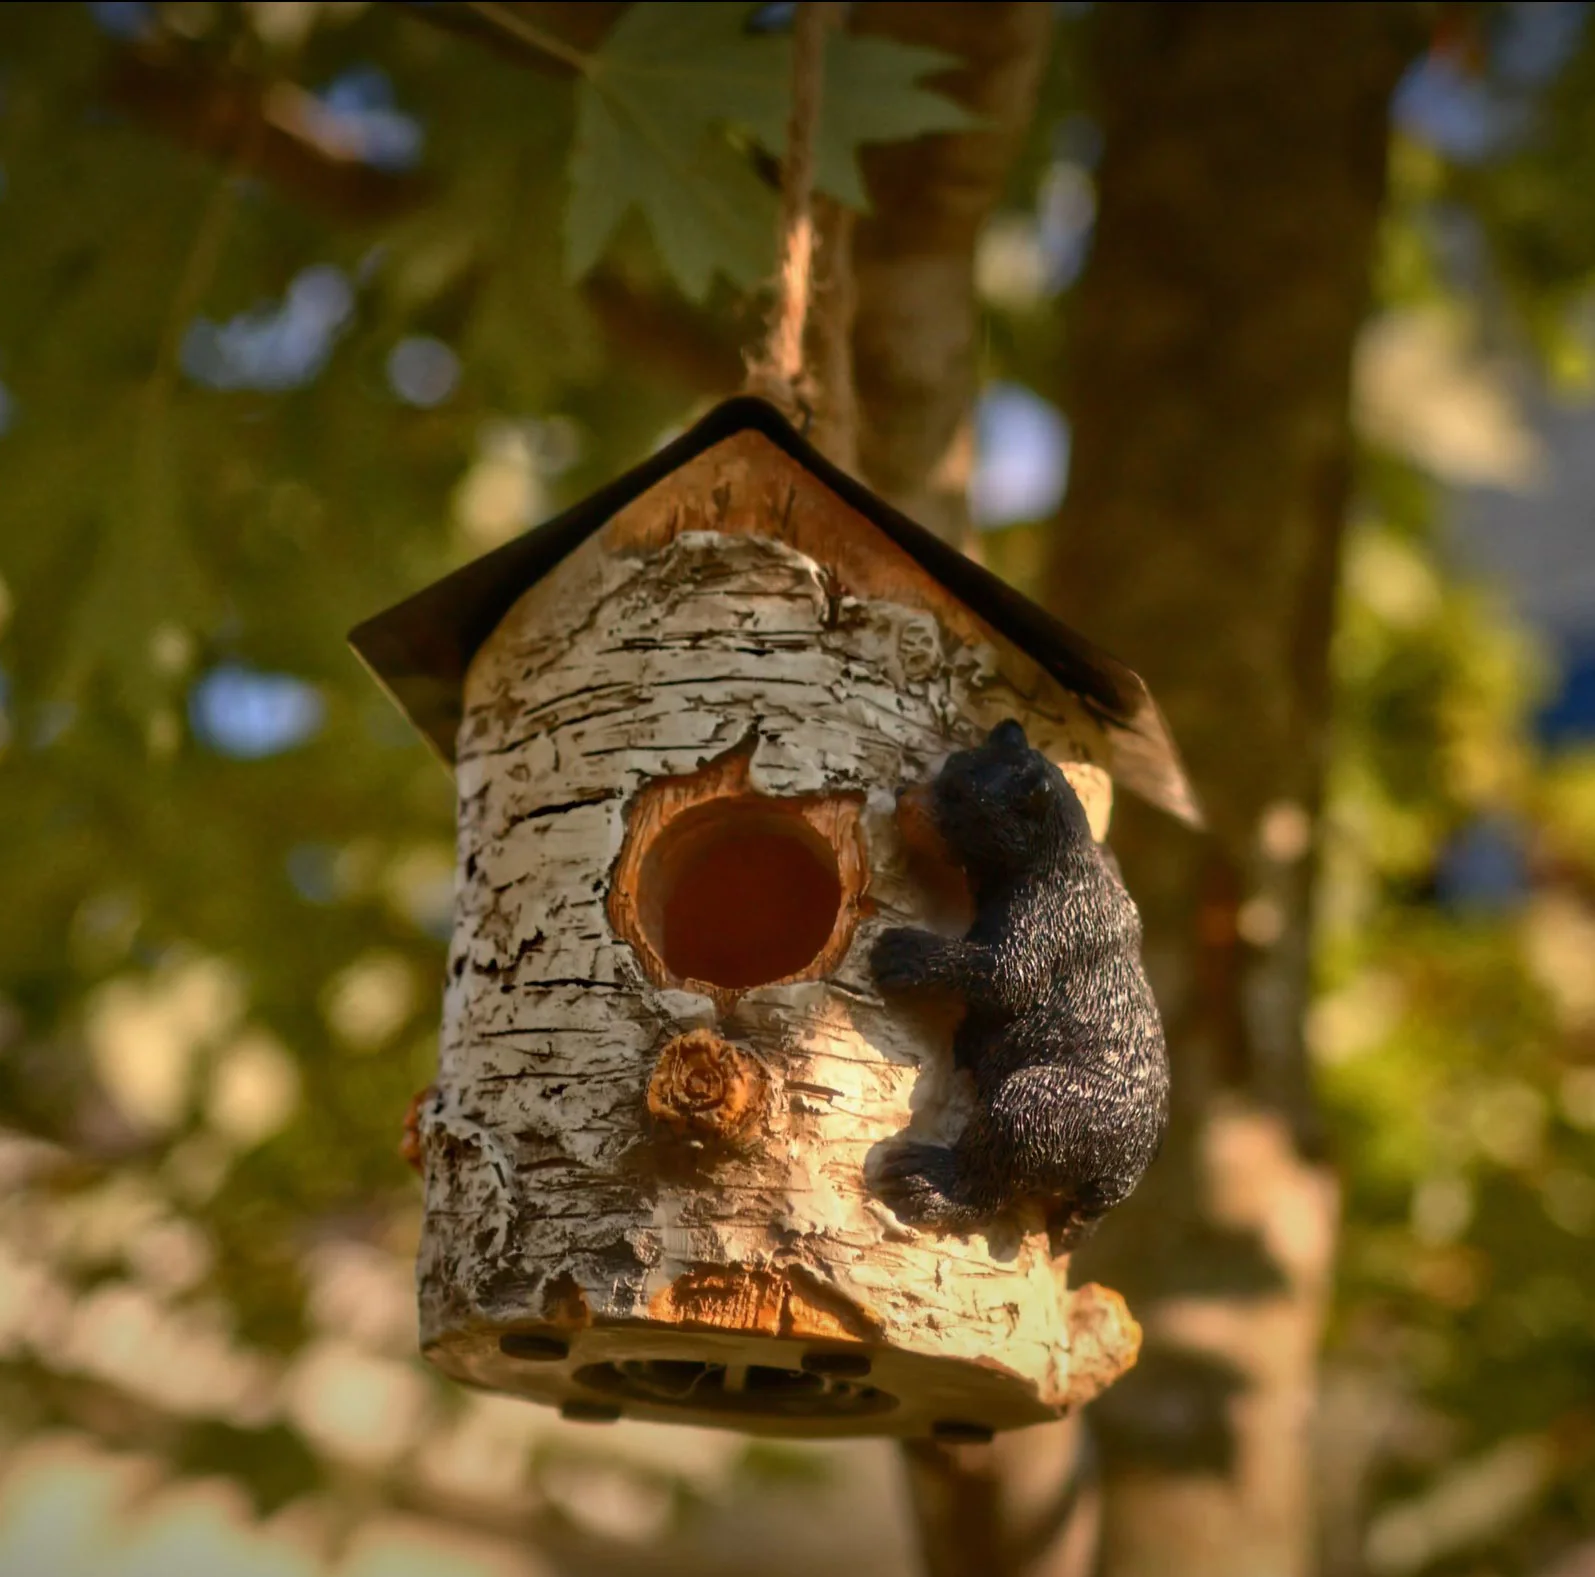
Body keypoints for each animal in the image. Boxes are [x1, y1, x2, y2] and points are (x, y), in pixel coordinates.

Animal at [869, 718, 1169, 1251]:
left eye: (961, 796)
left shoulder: (1049, 919)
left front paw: (905, 953)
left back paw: (927, 1183)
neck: (1055, 859)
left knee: (1001, 1154)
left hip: (1053, 1107)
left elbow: (1006, 975)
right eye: (952, 765)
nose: (904, 794)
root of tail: (1122, 1179)